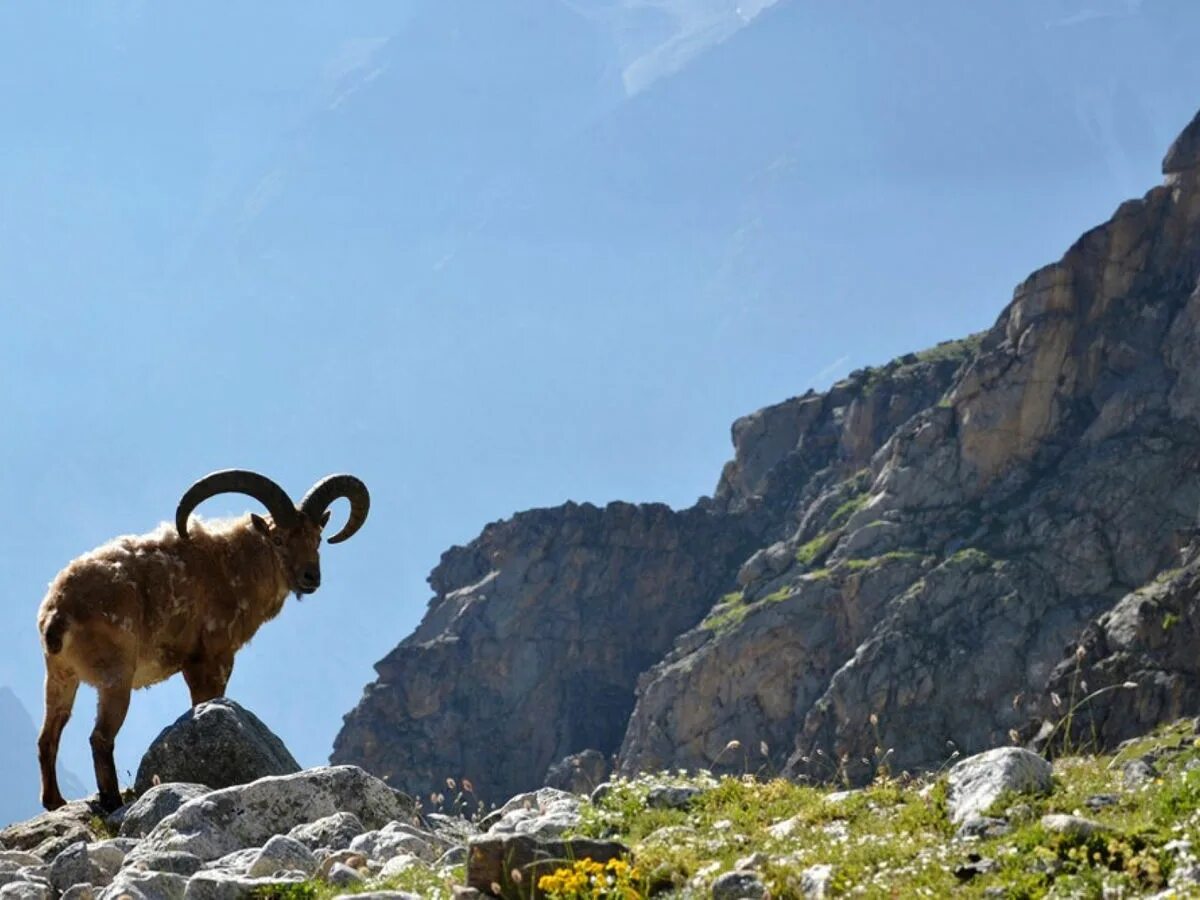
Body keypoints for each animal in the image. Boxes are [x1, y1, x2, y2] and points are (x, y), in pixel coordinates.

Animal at [35, 472, 369, 811]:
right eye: (278, 539)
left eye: (317, 539)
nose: (310, 577)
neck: (232, 567)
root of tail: (58, 610)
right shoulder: (211, 659)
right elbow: (206, 701)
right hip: (116, 677)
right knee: (100, 737)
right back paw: (112, 800)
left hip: (61, 676)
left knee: (48, 735)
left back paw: (55, 800)